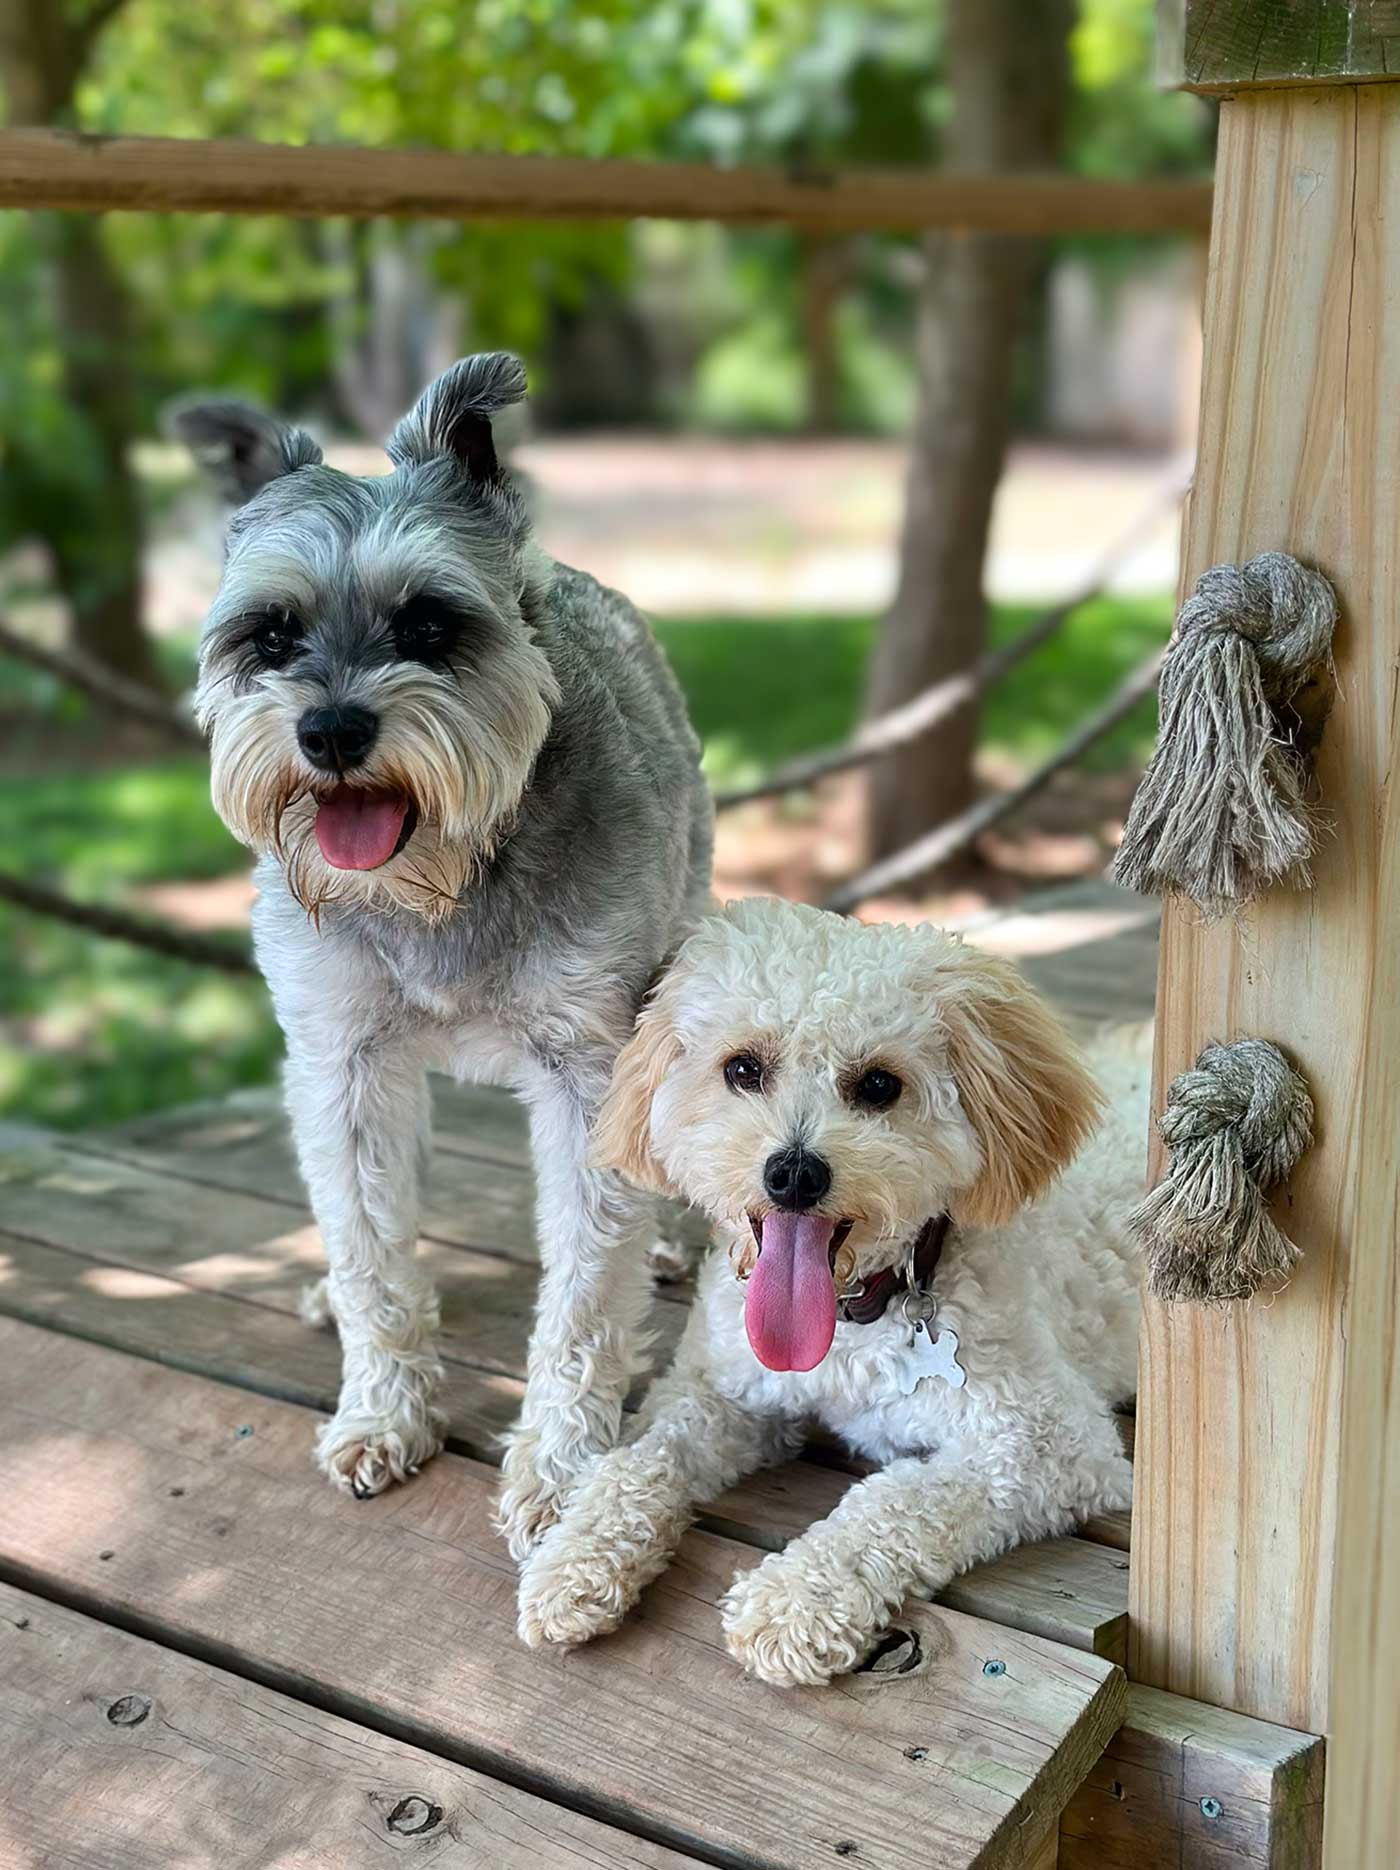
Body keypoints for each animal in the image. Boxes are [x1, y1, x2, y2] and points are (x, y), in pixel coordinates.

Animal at [519, 897, 1143, 1690]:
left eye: (878, 1085)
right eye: (743, 1068)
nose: (793, 1172)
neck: (853, 1319)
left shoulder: (1050, 1445)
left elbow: (897, 1499)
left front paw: (792, 1601)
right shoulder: (714, 1392)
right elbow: (637, 1459)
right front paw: (569, 1560)